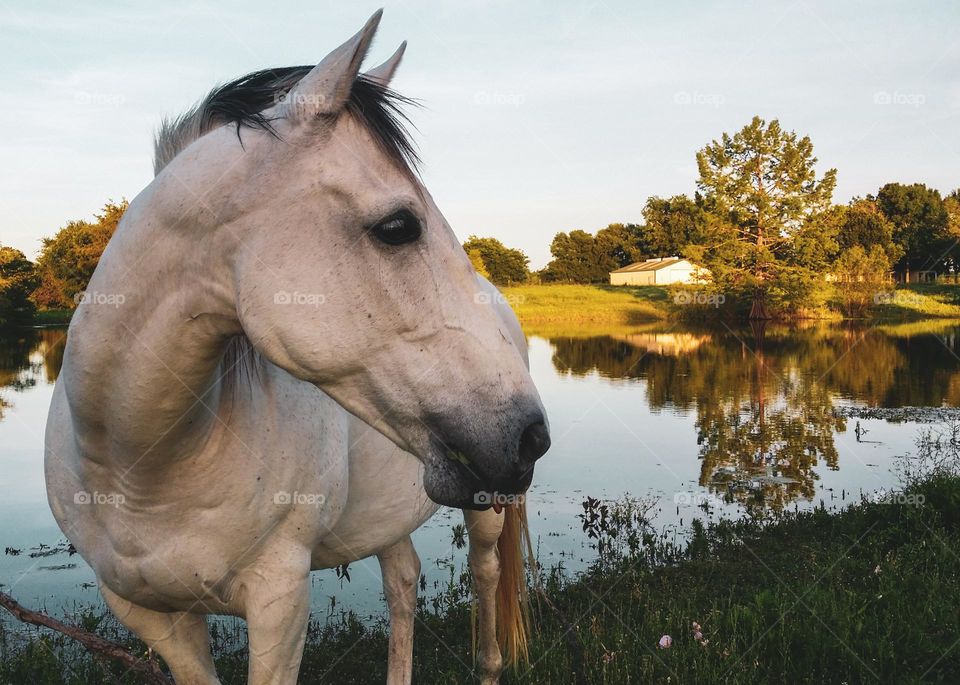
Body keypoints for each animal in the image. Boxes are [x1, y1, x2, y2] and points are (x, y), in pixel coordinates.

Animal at [45, 12, 552, 684]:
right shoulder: (150, 616)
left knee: (486, 574)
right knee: (403, 582)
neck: (141, 468)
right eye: (398, 227)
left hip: (487, 506)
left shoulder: (279, 600)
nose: (531, 436)